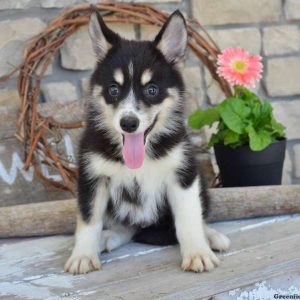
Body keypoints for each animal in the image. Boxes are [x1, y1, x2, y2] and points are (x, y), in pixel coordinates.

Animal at [65, 7, 230, 274]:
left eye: (152, 90)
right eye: (113, 89)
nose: (128, 123)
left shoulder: (182, 175)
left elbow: (188, 218)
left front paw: (197, 252)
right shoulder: (92, 179)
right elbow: (89, 220)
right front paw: (83, 255)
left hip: (200, 184)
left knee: (198, 217)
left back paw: (212, 237)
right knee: (127, 227)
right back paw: (107, 237)